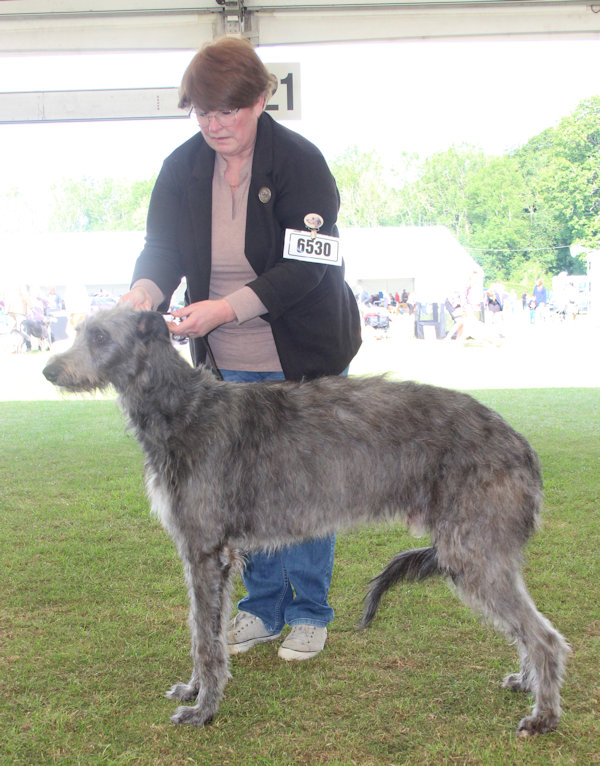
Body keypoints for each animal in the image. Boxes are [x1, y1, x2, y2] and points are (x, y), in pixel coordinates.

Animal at [42, 306, 568, 736]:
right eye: (78, 330)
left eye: (101, 336)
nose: (48, 370)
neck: (184, 409)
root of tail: (521, 445)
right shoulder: (209, 555)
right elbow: (201, 629)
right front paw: (193, 691)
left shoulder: (205, 551)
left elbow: (205, 641)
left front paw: (203, 709)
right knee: (528, 629)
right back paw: (527, 683)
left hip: (472, 550)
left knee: (545, 636)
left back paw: (543, 716)